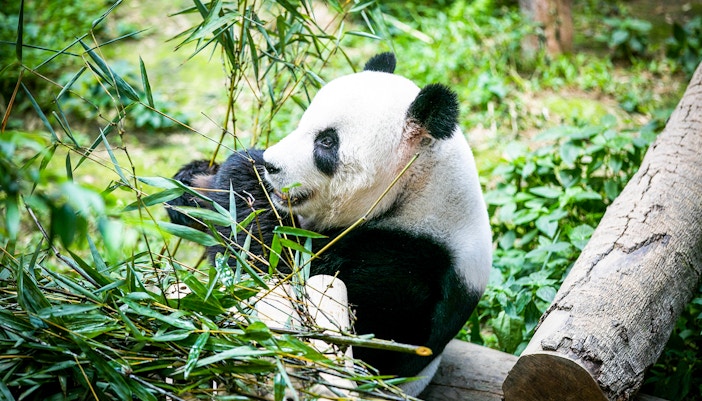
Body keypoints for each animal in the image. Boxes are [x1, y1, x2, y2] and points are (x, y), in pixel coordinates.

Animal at [166, 53, 492, 396]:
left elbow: (277, 275)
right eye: (302, 124)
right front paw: (191, 181)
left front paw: (243, 172)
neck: (417, 190)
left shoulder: (408, 270)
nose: (271, 164)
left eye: (326, 142)